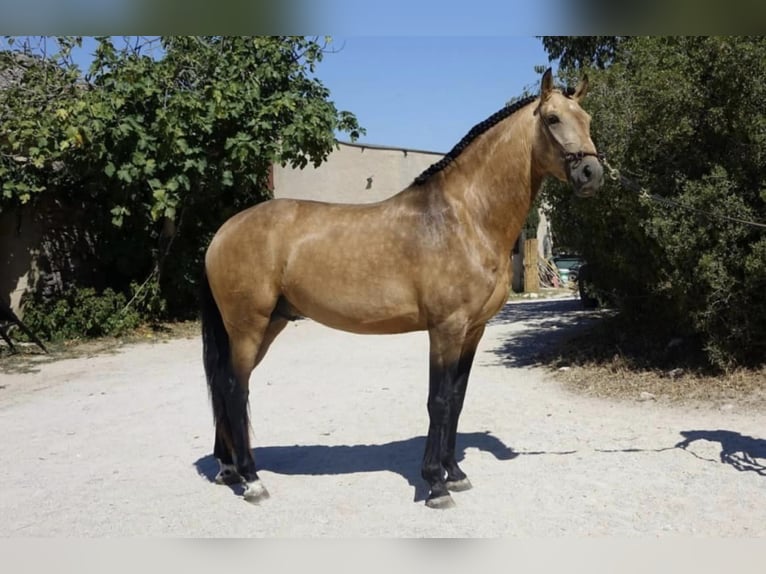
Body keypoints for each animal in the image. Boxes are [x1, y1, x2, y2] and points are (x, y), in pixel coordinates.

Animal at [200, 67, 608, 508]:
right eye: (552, 119)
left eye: (587, 120)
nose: (591, 175)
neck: (465, 217)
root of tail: (223, 231)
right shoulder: (446, 328)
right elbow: (439, 401)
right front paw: (435, 484)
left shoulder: (473, 330)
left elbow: (457, 399)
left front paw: (455, 473)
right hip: (248, 326)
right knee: (234, 390)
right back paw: (252, 480)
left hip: (268, 325)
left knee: (225, 388)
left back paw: (228, 469)